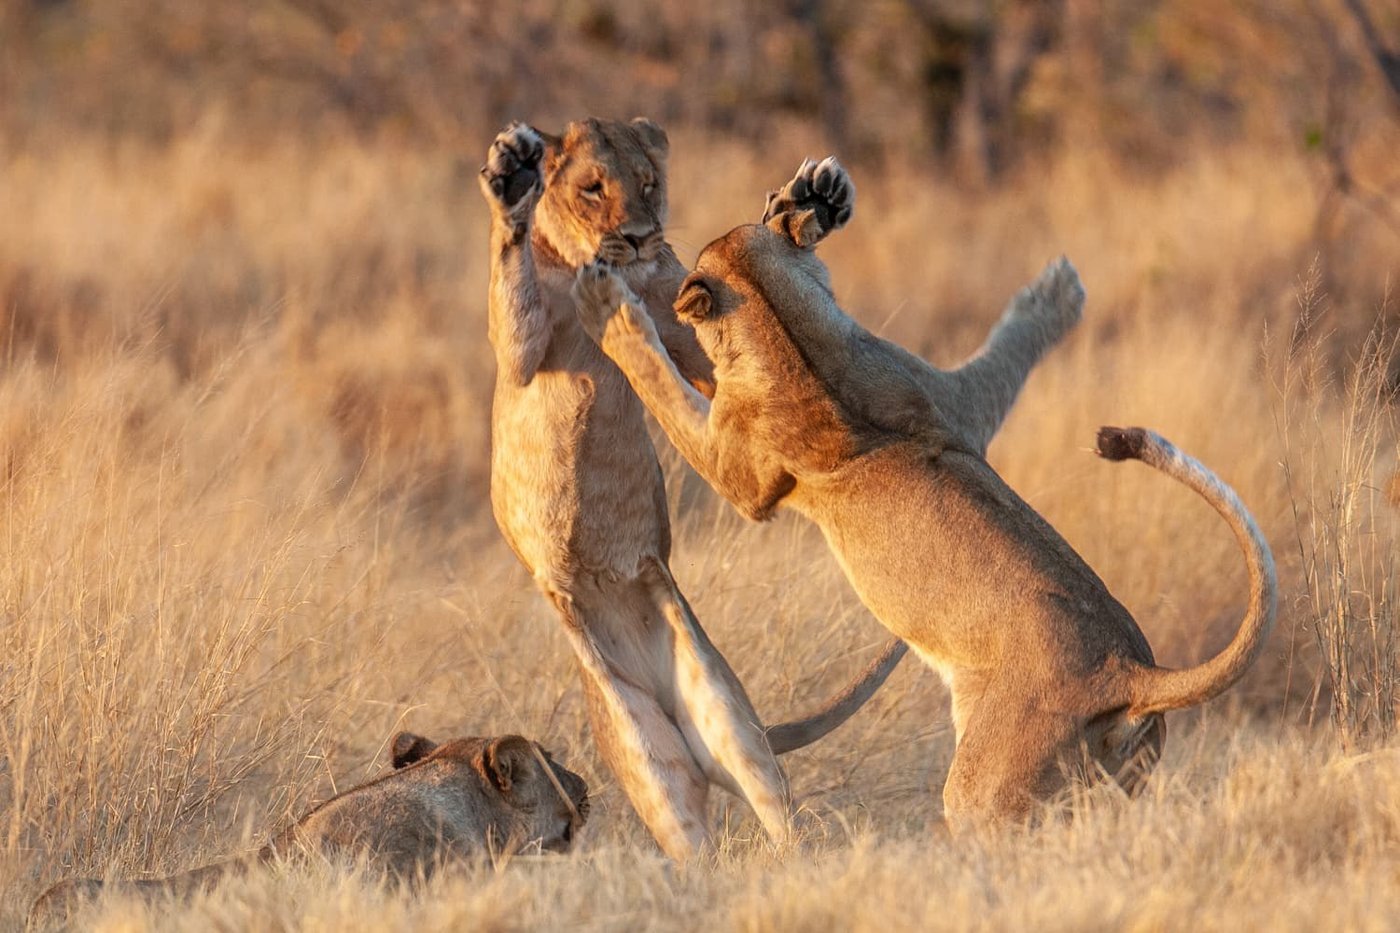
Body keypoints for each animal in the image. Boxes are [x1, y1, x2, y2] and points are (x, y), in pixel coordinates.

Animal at [571, 157, 1278, 832]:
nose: (788, 197)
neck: (790, 327)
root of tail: (1131, 673)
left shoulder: (742, 479)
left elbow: (664, 384)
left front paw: (608, 307)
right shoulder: (952, 402)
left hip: (984, 792)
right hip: (1119, 783)